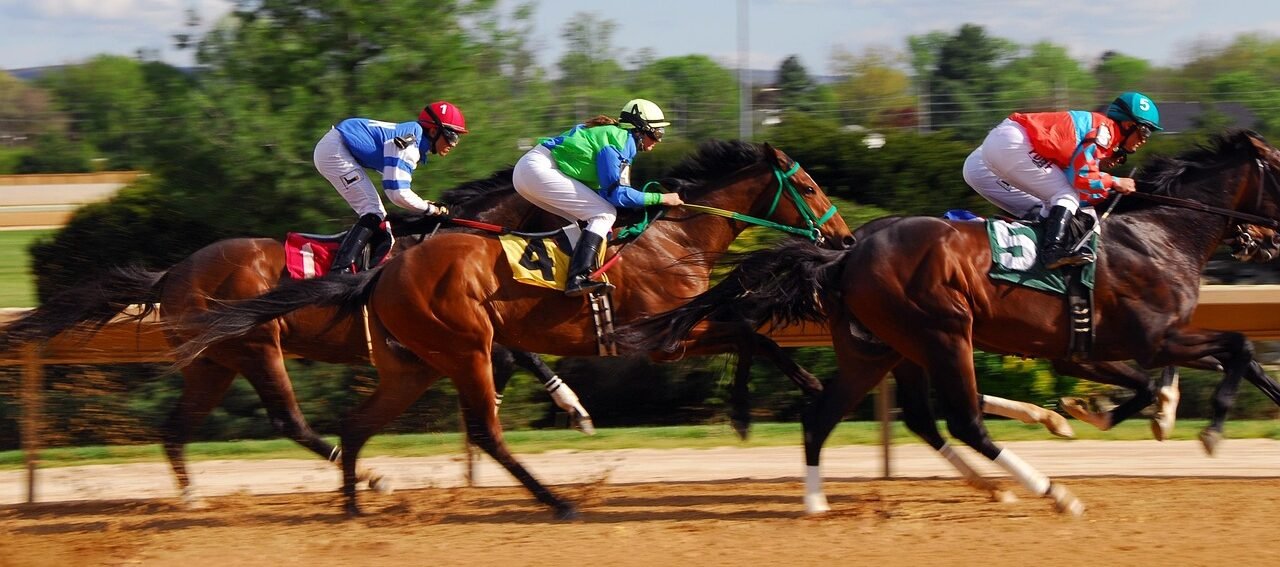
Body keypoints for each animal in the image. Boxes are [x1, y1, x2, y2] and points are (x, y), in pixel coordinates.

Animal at [169, 140, 856, 518]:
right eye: (809, 184)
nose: (846, 239)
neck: (675, 238)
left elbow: (749, 330)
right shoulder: (665, 337)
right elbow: (747, 331)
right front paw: (768, 403)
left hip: (393, 363)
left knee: (346, 424)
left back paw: (355, 500)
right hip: (423, 348)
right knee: (476, 431)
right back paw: (558, 503)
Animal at [622, 130, 1280, 515]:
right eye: (1279, 168)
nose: (1265, 243)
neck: (1160, 234)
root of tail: (845, 255)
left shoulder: (1098, 346)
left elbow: (1196, 367)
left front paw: (1101, 413)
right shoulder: (1149, 335)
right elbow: (1237, 346)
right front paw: (1207, 429)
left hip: (882, 350)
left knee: (837, 416)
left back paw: (819, 504)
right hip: (941, 333)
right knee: (962, 420)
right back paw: (1050, 492)